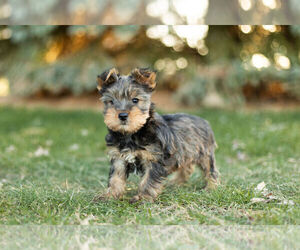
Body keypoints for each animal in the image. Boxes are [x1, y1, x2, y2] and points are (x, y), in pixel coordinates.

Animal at [93, 68, 218, 203]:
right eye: (111, 102)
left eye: (135, 100)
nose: (122, 115)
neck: (132, 133)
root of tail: (203, 121)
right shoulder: (118, 157)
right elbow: (115, 178)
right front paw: (110, 195)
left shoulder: (154, 158)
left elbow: (148, 180)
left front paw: (143, 198)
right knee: (186, 167)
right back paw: (177, 182)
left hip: (204, 153)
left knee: (210, 169)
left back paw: (212, 187)